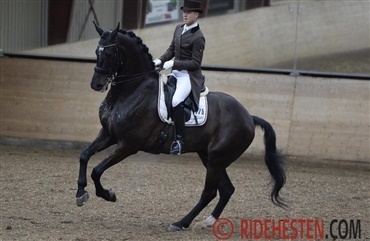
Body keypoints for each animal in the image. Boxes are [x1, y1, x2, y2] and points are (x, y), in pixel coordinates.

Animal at [76, 22, 286, 232]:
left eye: (110, 53)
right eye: (96, 51)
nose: (96, 84)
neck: (132, 90)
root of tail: (248, 116)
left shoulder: (128, 145)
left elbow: (97, 170)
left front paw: (108, 195)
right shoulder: (108, 134)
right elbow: (84, 155)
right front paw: (80, 193)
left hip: (217, 158)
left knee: (210, 192)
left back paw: (181, 223)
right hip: (208, 156)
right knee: (226, 190)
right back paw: (207, 221)